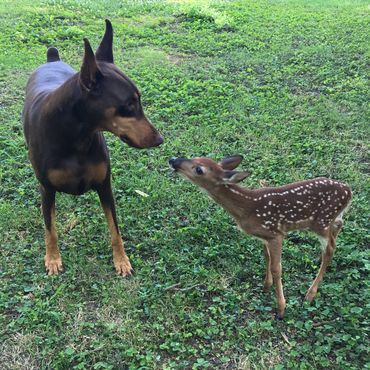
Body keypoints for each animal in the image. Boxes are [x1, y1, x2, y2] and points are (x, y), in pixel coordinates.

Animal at [22, 19, 162, 274]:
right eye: (129, 105)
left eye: (139, 99)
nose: (159, 139)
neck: (76, 138)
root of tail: (52, 58)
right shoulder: (47, 189)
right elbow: (50, 229)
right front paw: (53, 259)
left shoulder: (105, 186)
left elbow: (115, 228)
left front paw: (121, 260)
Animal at [169, 155, 352, 320]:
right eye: (196, 156)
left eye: (199, 169)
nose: (173, 160)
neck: (247, 207)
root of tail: (349, 192)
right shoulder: (264, 236)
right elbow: (267, 258)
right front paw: (266, 286)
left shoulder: (276, 234)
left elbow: (276, 268)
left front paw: (281, 309)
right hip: (330, 219)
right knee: (338, 227)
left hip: (321, 223)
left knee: (331, 248)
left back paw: (310, 294)